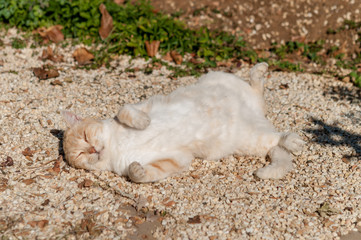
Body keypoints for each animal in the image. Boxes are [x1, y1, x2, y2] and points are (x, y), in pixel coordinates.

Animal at [60, 62, 302, 183]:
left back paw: (260, 70)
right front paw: (137, 171)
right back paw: (291, 141)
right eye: (81, 155)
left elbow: (124, 111)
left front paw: (142, 122)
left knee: (257, 90)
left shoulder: (141, 105)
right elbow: (140, 174)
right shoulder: (175, 159)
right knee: (275, 139)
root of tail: (257, 116)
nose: (92, 150)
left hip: (221, 80)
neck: (115, 146)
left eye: (85, 137)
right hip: (251, 140)